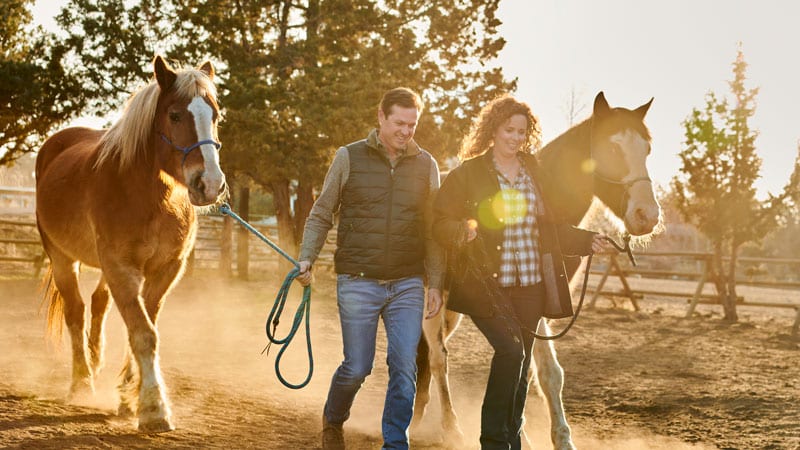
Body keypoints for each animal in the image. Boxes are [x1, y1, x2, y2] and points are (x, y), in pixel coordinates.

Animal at [35, 56, 225, 432]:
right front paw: (153, 408)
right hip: (63, 258)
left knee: (98, 304)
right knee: (76, 312)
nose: (210, 183)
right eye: (175, 115)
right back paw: (81, 383)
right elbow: (144, 333)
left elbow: (141, 327)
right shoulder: (122, 269)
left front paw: (128, 396)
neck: (151, 197)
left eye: (215, 115)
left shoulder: (164, 271)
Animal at [412, 93, 664, 448]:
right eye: (613, 148)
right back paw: (450, 428)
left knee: (425, 355)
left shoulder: (540, 305)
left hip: (450, 309)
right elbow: (527, 368)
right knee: (438, 356)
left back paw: (417, 418)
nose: (647, 216)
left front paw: (556, 438)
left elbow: (541, 373)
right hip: (432, 299)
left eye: (647, 149)